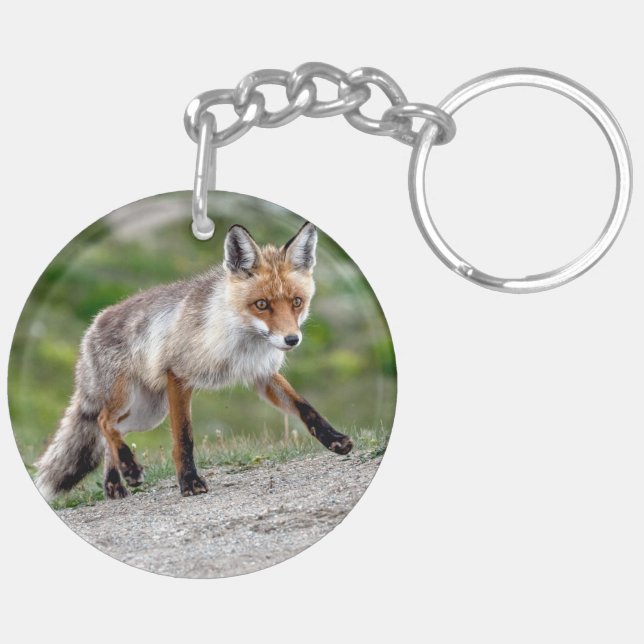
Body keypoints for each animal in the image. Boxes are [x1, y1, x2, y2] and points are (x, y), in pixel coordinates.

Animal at [35, 221, 353, 500]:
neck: (241, 341)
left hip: (148, 412)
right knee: (103, 422)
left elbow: (305, 408)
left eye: (297, 302)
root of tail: (93, 325)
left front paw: (334, 439)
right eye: (261, 305)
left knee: (111, 433)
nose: (291, 340)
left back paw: (115, 482)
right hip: (128, 399)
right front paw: (189, 481)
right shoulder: (178, 375)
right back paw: (129, 468)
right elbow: (183, 437)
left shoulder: (261, 374)